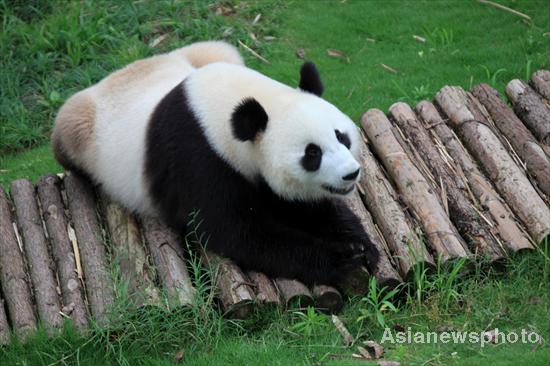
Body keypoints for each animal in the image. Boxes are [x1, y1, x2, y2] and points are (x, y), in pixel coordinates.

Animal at [52, 40, 380, 286]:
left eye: (341, 136)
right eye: (312, 153)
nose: (351, 174)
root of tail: (112, 75)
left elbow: (303, 207)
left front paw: (361, 246)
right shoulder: (196, 157)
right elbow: (237, 230)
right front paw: (342, 258)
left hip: (204, 52)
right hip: (84, 130)